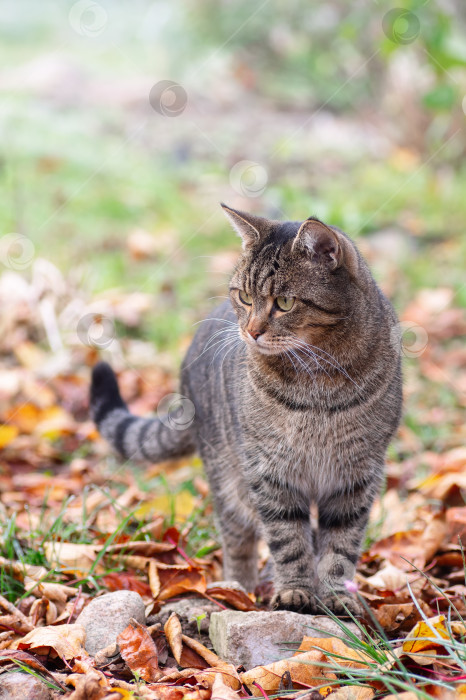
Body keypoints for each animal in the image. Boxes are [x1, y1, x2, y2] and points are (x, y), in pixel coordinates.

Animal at [90, 204, 400, 616]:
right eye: (244, 296)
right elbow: (288, 540)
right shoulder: (269, 472)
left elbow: (340, 544)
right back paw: (236, 590)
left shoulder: (357, 474)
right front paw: (295, 591)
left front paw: (336, 595)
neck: (319, 377)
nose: (251, 332)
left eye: (284, 303)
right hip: (228, 481)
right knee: (238, 540)